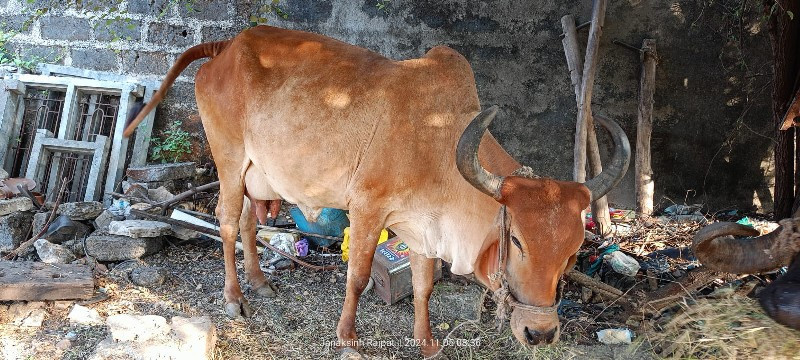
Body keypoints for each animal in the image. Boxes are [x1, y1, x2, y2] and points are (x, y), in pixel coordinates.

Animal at [125, 26, 628, 356]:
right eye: (518, 241)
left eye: (573, 250)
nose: (539, 333)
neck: (439, 142)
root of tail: (227, 46)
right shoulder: (366, 209)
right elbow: (358, 277)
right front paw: (348, 340)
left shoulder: (424, 228)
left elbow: (424, 287)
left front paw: (427, 343)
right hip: (229, 162)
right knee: (228, 223)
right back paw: (234, 297)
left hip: (256, 175)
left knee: (249, 221)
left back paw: (261, 282)